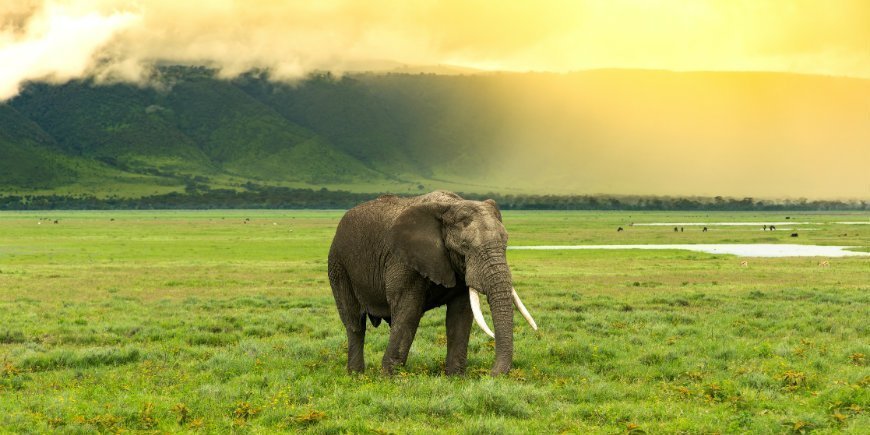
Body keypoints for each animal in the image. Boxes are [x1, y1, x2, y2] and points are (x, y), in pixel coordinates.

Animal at [327, 191, 537, 376]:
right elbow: (408, 312)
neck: (450, 205)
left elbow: (460, 314)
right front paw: (390, 379)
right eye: (465, 247)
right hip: (338, 265)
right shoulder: (403, 260)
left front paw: (456, 378)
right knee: (354, 324)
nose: (491, 374)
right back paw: (356, 376)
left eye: (506, 243)